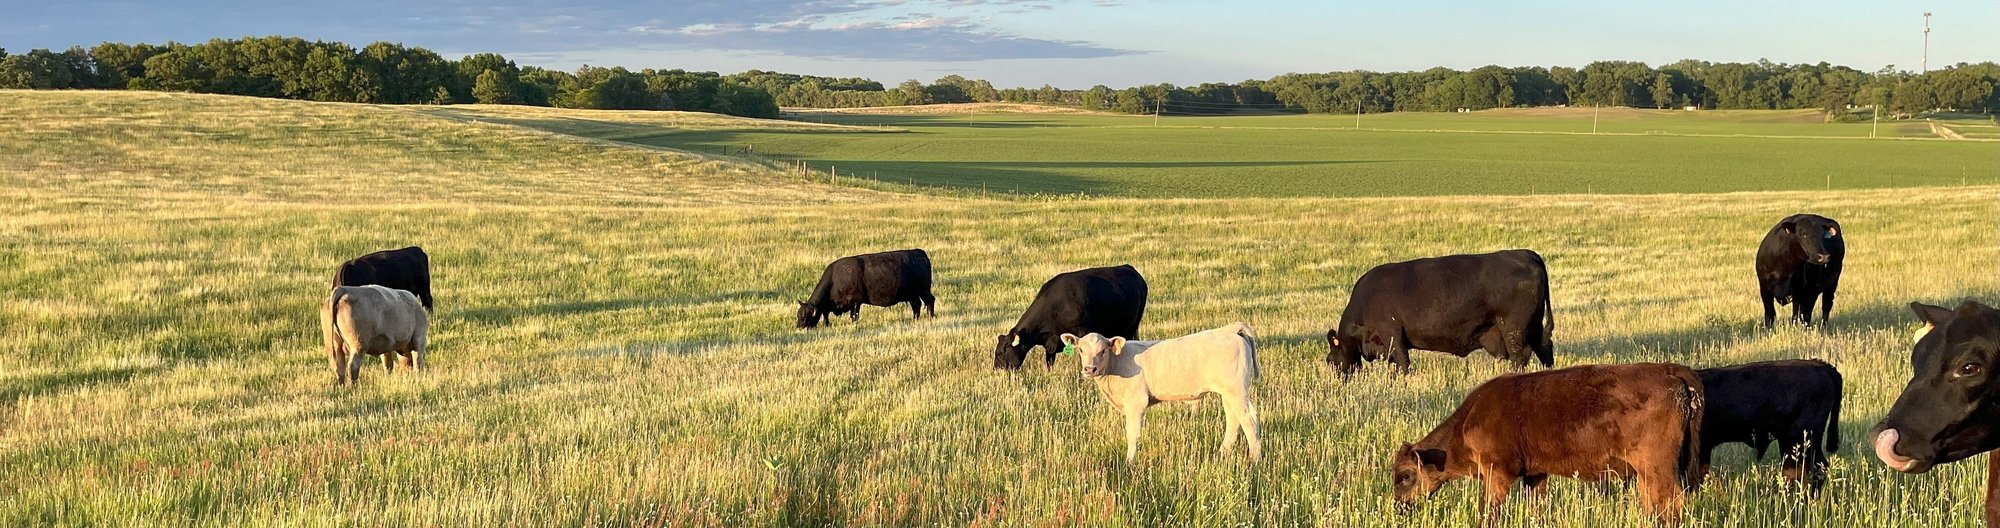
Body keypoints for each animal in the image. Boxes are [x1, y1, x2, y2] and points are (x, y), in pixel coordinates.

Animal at [796, 249, 936, 329]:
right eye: (798, 315)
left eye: (805, 317)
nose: (799, 328)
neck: (835, 279)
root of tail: (919, 253)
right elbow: (825, 314)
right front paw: (826, 325)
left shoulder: (855, 301)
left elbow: (854, 316)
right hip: (913, 294)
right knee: (916, 305)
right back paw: (915, 319)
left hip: (924, 290)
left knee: (930, 301)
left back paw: (930, 318)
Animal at [993, 264, 1147, 370]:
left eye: (1001, 353)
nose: (996, 370)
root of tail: (1129, 268)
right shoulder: (1050, 342)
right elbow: (1049, 362)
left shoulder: (1083, 332)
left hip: (1133, 326)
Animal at [1061, 322, 1260, 463]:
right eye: (1081, 350)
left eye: (1103, 350)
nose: (1090, 369)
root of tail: (1228, 329)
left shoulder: (1136, 402)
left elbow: (1133, 434)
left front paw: (1129, 463)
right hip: (1231, 393)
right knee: (1236, 421)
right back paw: (1222, 454)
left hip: (1235, 391)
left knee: (1249, 423)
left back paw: (1254, 462)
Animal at [1325, 249, 1554, 378]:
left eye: (1330, 360)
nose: (1337, 377)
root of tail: (1526, 253)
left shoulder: (1391, 334)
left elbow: (1402, 363)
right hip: (1533, 325)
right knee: (1544, 347)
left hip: (1514, 329)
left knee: (1520, 356)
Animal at [1392, 363, 1703, 527]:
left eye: (1405, 476)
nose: (1399, 507)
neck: (1469, 418)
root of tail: (1668, 371)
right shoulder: (1535, 475)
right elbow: (1536, 507)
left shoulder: (1497, 473)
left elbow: (1490, 512)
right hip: (1647, 473)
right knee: (1654, 502)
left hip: (1657, 468)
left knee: (1673, 502)